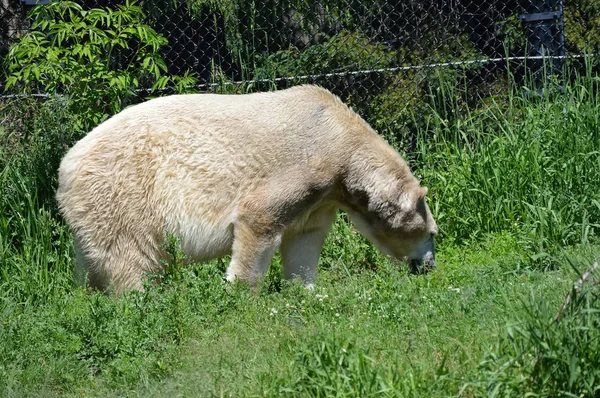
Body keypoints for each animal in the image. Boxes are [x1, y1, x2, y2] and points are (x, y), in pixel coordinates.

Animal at [56, 84, 438, 296]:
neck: (337, 137)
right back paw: (144, 302)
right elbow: (259, 220)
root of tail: (66, 167)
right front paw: (243, 294)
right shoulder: (301, 168)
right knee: (131, 257)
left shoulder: (323, 196)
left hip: (92, 216)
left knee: (92, 263)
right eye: (433, 231)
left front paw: (310, 292)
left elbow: (305, 238)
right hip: (125, 194)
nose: (430, 266)